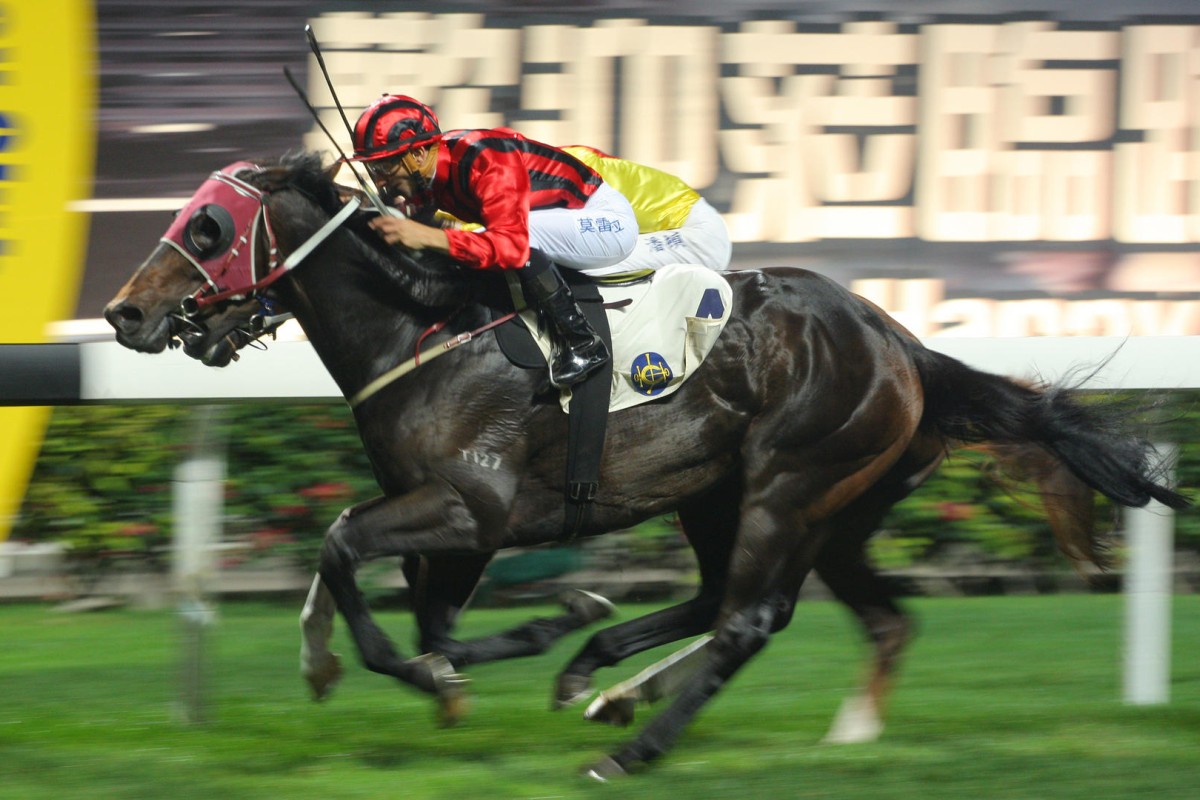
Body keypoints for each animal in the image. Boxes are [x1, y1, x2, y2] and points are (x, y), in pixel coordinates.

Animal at [105, 153, 1190, 777]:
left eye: (206, 226)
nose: (125, 312)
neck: (426, 324)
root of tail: (905, 346)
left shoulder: (473, 505)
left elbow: (344, 551)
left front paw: (424, 668)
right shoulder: (454, 523)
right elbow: (415, 607)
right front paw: (507, 643)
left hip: (791, 481)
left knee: (748, 615)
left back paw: (632, 744)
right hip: (765, 498)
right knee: (805, 610)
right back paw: (629, 683)